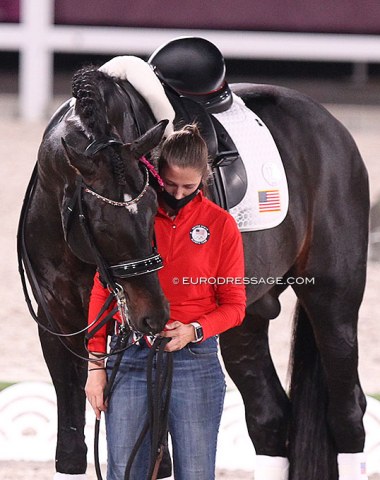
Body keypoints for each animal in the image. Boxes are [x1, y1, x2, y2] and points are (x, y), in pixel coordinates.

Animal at [19, 64, 370, 480]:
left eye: (154, 208)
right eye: (101, 224)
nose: (153, 316)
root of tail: (331, 126)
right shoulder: (57, 326)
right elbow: (71, 450)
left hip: (333, 302)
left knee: (347, 414)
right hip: (245, 317)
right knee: (268, 417)